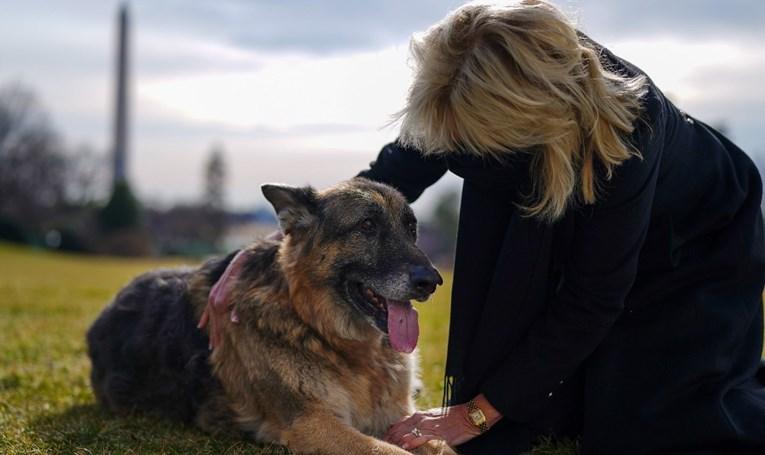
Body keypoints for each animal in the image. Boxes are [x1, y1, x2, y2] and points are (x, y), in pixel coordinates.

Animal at [85, 179, 454, 455]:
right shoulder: (312, 423)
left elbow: (440, 444)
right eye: (367, 225)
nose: (432, 281)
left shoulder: (400, 417)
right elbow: (390, 451)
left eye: (411, 228)